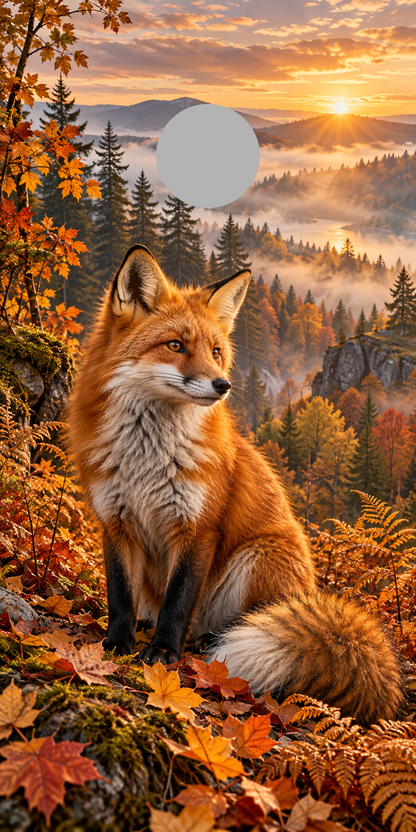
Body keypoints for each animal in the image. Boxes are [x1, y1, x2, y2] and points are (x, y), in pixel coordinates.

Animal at [69, 244, 403, 726]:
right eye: (175, 345)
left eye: (215, 351)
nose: (222, 384)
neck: (146, 457)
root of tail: (309, 589)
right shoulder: (115, 519)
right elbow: (119, 594)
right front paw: (118, 643)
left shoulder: (198, 527)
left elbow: (178, 601)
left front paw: (163, 653)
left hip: (257, 559)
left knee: (234, 623)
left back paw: (210, 643)